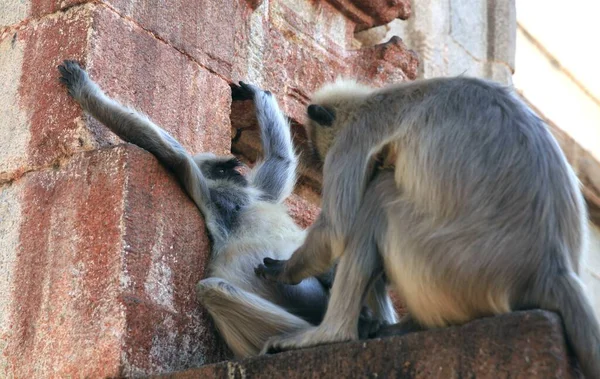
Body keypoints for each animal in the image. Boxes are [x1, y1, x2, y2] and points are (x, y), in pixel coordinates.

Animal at [56, 61, 394, 360]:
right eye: (223, 168)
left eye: (232, 168)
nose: (236, 174)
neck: (239, 204)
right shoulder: (215, 197)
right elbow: (174, 155)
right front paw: (84, 91)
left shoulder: (257, 194)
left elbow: (280, 161)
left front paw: (257, 94)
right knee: (212, 290)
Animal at [256, 77, 600, 379]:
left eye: (319, 149)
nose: (319, 157)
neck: (372, 100)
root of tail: (551, 269)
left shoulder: (354, 138)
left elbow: (336, 231)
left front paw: (284, 270)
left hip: (448, 268)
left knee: (378, 193)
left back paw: (332, 334)